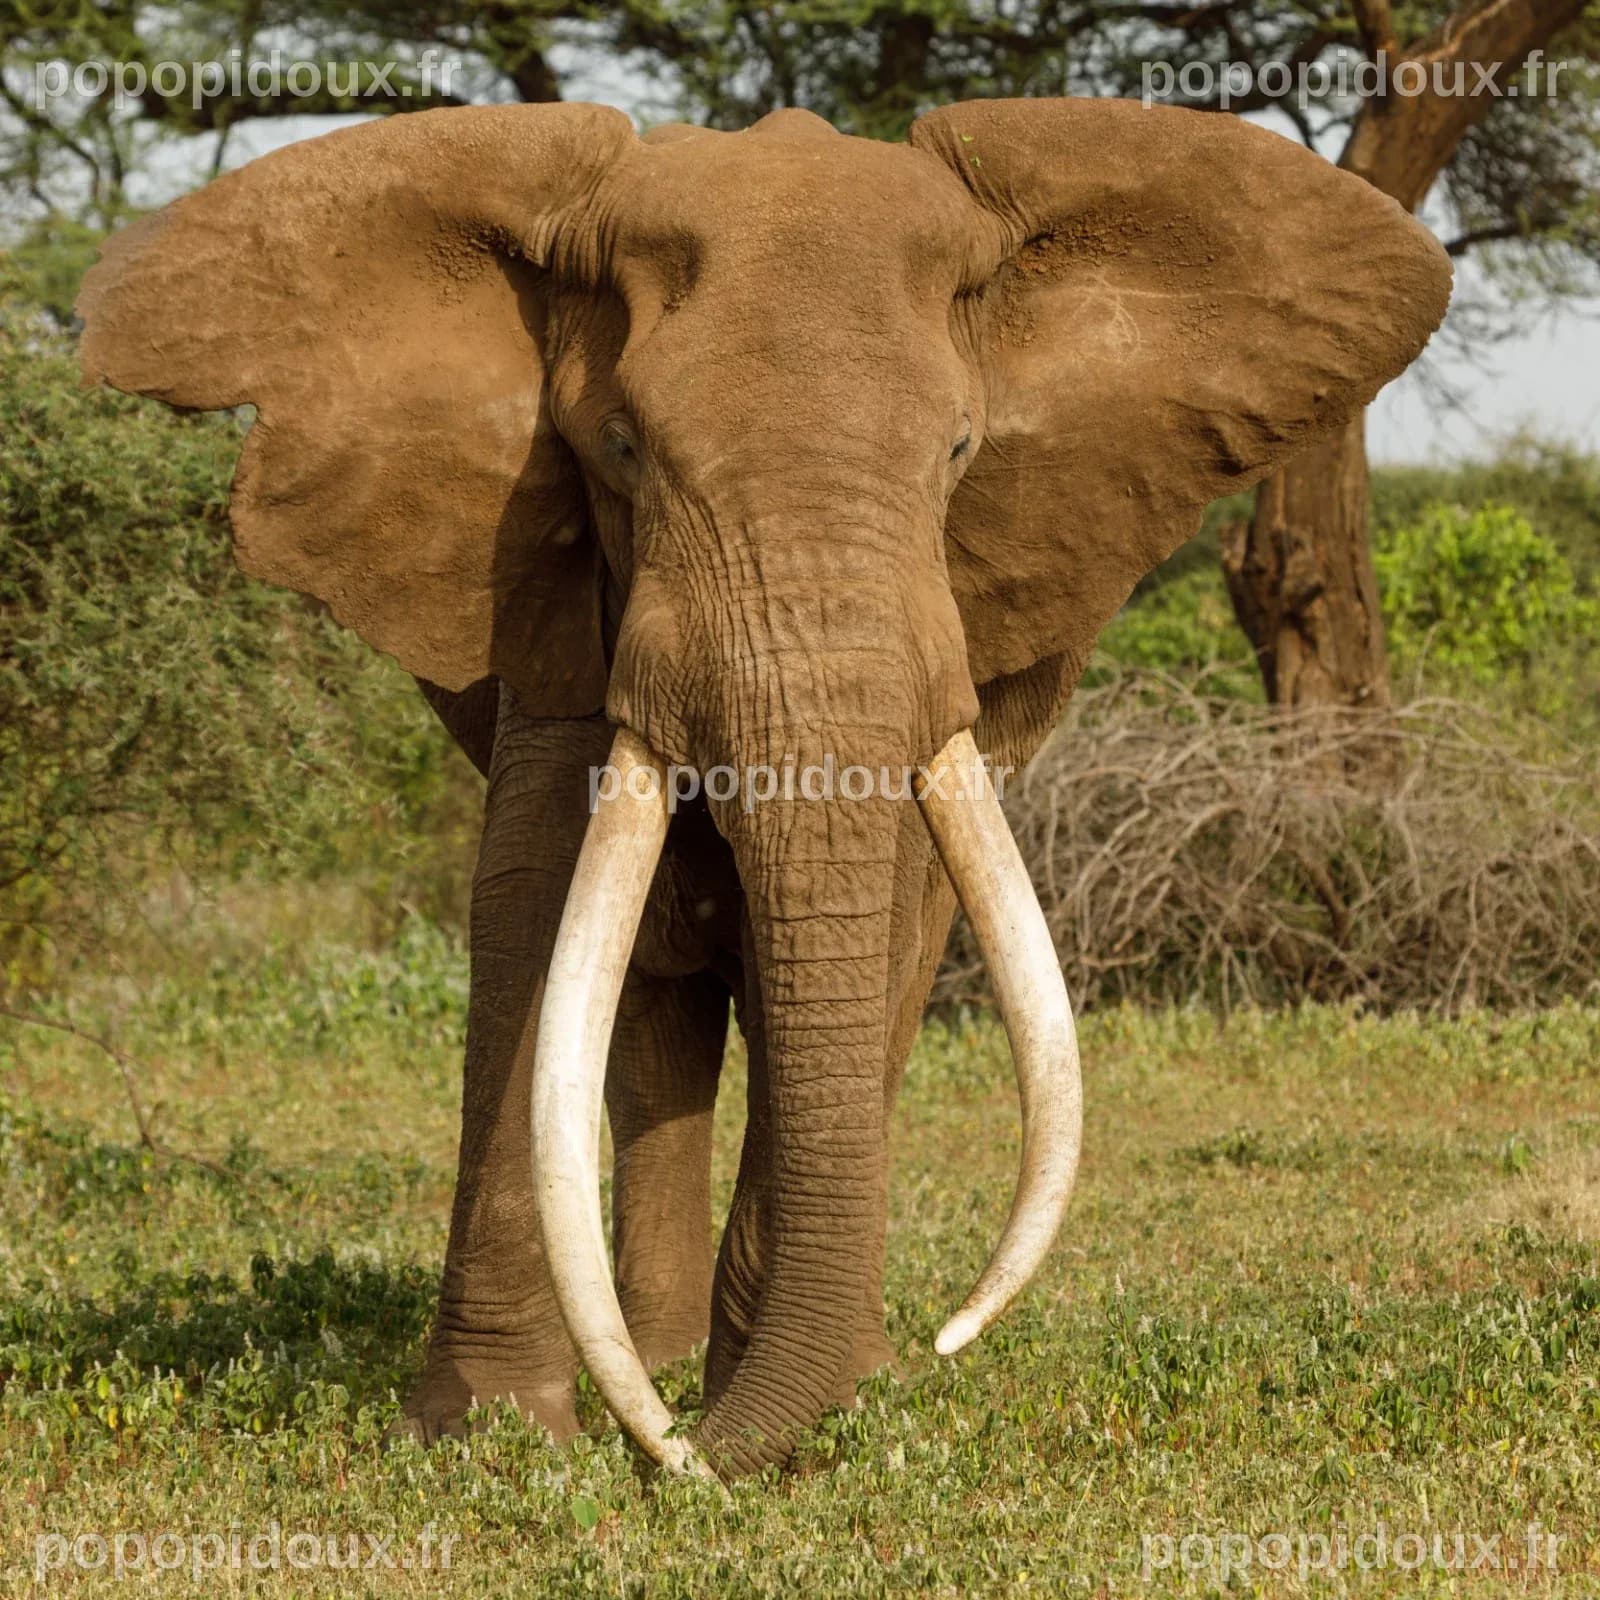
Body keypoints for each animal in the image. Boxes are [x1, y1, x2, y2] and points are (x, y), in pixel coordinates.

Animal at [76, 96, 1450, 1477]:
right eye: (620, 450)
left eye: (960, 450)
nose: (689, 1456)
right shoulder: (544, 583)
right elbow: (531, 904)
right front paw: (488, 1436)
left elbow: (878, 907)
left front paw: (787, 1411)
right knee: (648, 998)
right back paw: (665, 1354)